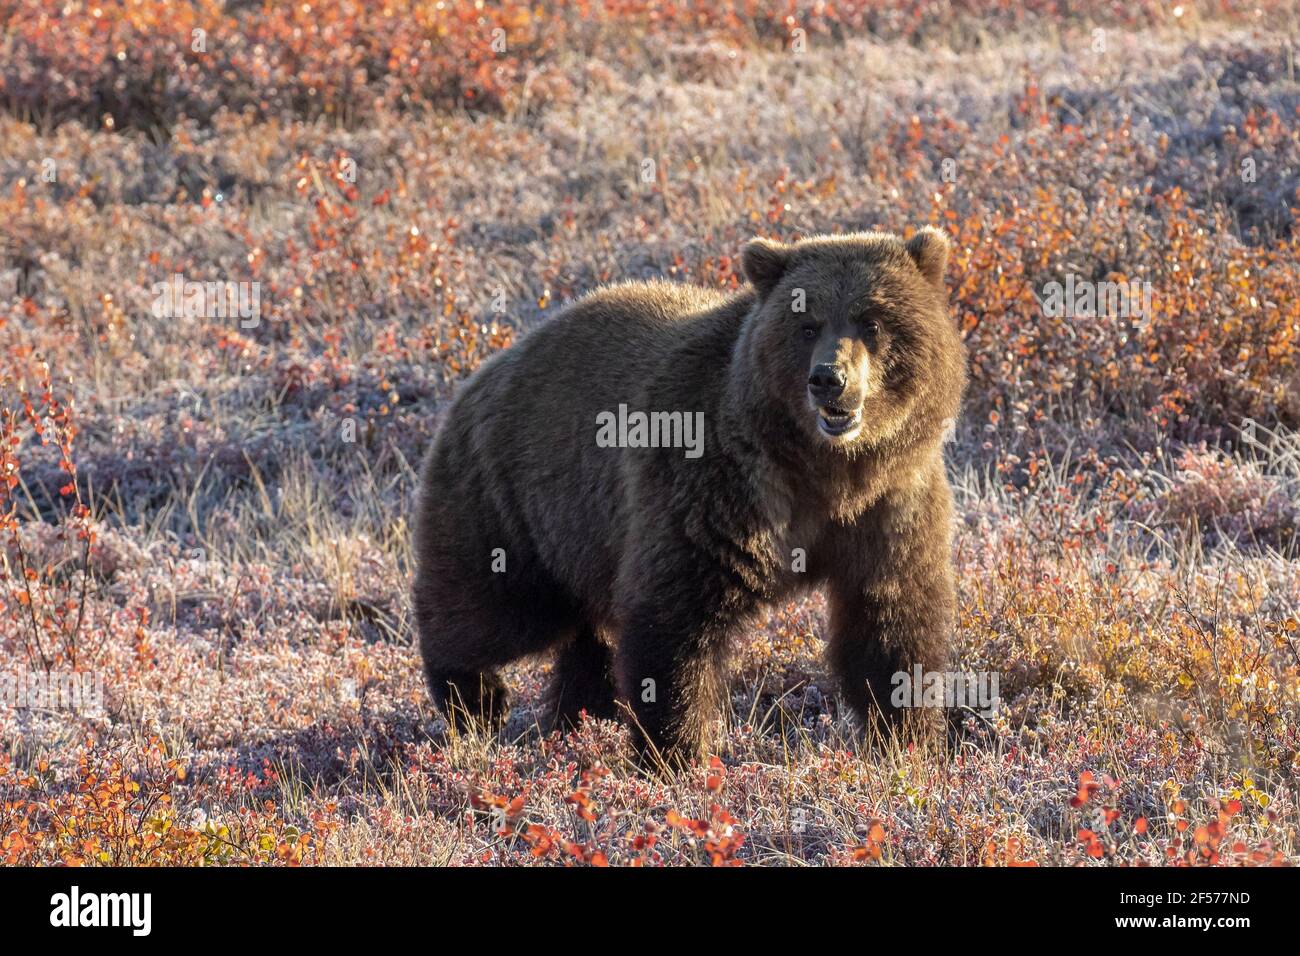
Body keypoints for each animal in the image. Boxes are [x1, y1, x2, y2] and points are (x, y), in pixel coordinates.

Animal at [412, 226, 967, 765]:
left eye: (872, 320)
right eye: (806, 324)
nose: (828, 379)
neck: (827, 471)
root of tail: (479, 376)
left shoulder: (891, 504)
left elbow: (891, 622)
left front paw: (909, 739)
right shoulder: (713, 487)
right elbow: (677, 622)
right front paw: (675, 755)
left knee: (582, 637)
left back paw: (581, 716)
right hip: (516, 503)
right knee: (492, 609)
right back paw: (474, 700)